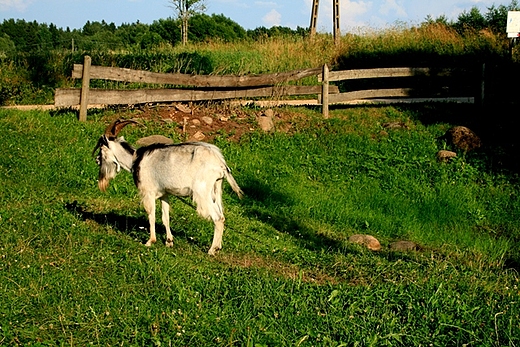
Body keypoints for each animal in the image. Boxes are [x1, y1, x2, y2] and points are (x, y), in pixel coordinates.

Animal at [93, 119, 244, 256]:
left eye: (101, 148)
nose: (96, 160)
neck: (135, 160)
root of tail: (221, 164)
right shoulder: (164, 194)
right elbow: (165, 217)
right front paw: (169, 241)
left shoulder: (148, 193)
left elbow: (151, 215)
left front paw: (150, 241)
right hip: (216, 190)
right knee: (222, 217)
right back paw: (218, 247)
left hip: (203, 193)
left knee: (217, 218)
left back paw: (212, 250)